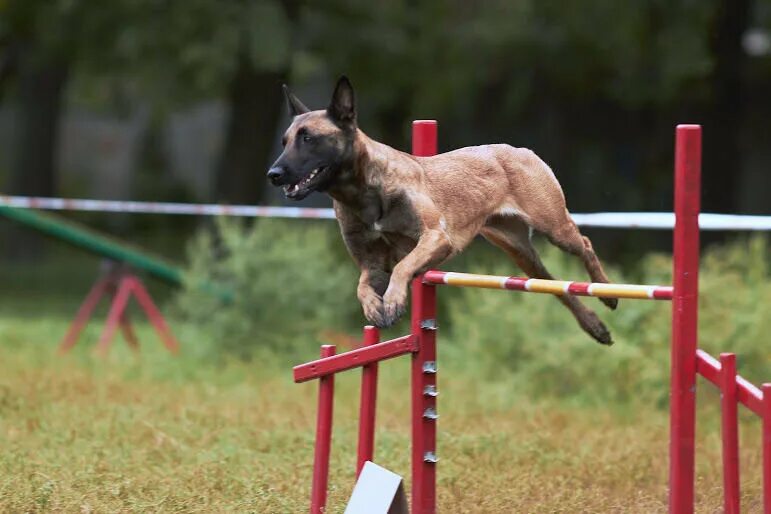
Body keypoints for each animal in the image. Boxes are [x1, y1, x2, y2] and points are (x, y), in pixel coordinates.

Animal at [268, 77, 620, 344]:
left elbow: (403, 267)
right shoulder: (372, 266)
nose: (273, 174)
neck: (361, 193)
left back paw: (608, 293)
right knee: (557, 287)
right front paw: (374, 308)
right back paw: (594, 325)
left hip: (554, 227)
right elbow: (362, 287)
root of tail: (518, 149)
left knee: (584, 245)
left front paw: (393, 301)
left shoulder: (435, 239)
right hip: (520, 253)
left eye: (308, 138)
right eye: (284, 141)